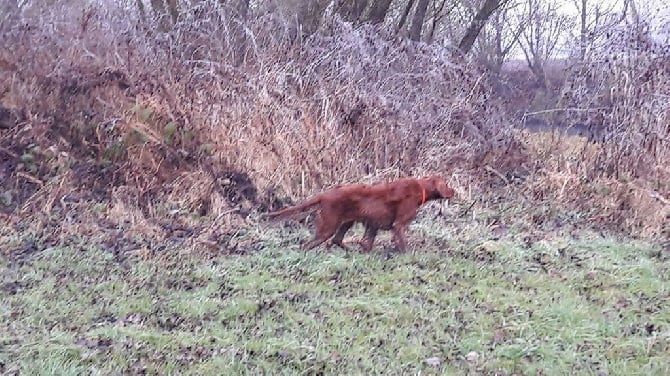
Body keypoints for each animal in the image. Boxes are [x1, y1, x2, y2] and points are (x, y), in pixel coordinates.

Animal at [270, 176, 456, 253]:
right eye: (447, 184)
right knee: (307, 245)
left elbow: (368, 242)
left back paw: (350, 249)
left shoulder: (373, 224)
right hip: (328, 226)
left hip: (346, 222)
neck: (421, 188)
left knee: (336, 240)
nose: (454, 191)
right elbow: (402, 244)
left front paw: (365, 250)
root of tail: (324, 194)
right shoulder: (398, 225)